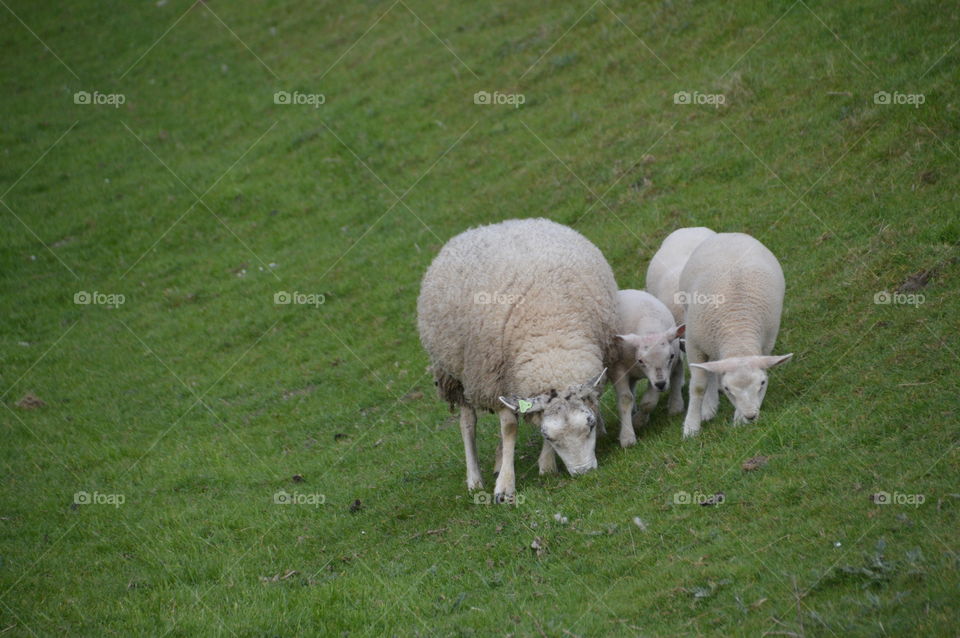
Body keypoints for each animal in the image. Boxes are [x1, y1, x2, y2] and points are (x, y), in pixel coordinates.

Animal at [417, 218, 619, 503]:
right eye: (549, 436)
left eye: (589, 425)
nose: (584, 472)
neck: (551, 337)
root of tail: (488, 226)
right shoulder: (495, 376)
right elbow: (510, 427)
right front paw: (505, 487)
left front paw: (545, 465)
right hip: (457, 374)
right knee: (468, 423)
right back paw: (474, 479)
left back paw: (498, 461)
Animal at [610, 290, 685, 447]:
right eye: (640, 360)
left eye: (670, 356)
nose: (661, 385)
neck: (649, 329)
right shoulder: (618, 370)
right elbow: (625, 399)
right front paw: (627, 437)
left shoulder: (662, 373)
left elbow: (649, 402)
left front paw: (638, 421)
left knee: (677, 375)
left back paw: (675, 406)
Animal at [677, 232, 793, 438]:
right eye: (727, 389)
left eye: (762, 383)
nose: (751, 416)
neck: (737, 331)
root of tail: (729, 234)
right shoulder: (693, 345)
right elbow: (698, 386)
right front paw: (691, 427)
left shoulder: (764, 346)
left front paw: (739, 420)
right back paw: (708, 407)